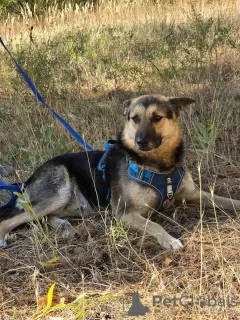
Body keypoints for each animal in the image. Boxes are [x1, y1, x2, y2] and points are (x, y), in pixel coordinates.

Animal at [0, 95, 240, 250]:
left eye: (157, 117)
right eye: (135, 118)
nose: (140, 141)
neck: (159, 166)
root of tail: (28, 179)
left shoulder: (193, 193)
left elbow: (225, 200)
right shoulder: (125, 213)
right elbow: (153, 224)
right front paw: (170, 240)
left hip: (78, 207)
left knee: (45, 216)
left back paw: (62, 225)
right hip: (58, 192)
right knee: (14, 219)